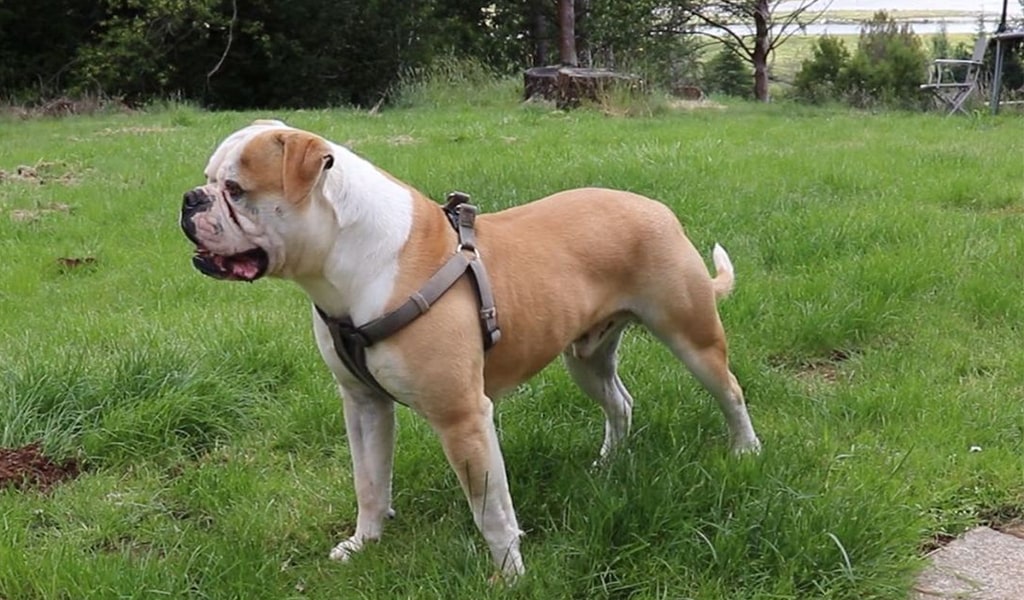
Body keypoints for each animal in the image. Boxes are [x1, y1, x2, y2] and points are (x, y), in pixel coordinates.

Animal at [178, 120, 761, 573]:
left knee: (730, 391)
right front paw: (364, 543)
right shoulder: (364, 405)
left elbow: (491, 510)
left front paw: (509, 575)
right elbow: (370, 484)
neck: (348, 261)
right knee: (620, 403)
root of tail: (657, 207)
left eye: (236, 189)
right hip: (585, 357)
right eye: (208, 180)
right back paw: (608, 462)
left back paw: (745, 451)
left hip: (691, 336)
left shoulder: (462, 418)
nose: (190, 199)